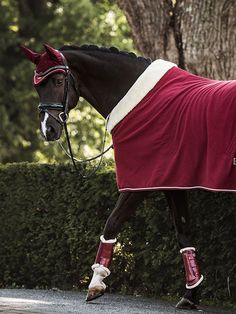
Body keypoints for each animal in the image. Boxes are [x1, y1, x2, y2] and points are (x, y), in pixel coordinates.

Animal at [21, 43, 236, 310]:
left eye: (59, 81)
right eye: (37, 86)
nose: (48, 129)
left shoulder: (138, 185)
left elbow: (112, 223)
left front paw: (96, 283)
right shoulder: (174, 183)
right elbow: (183, 233)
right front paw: (191, 294)